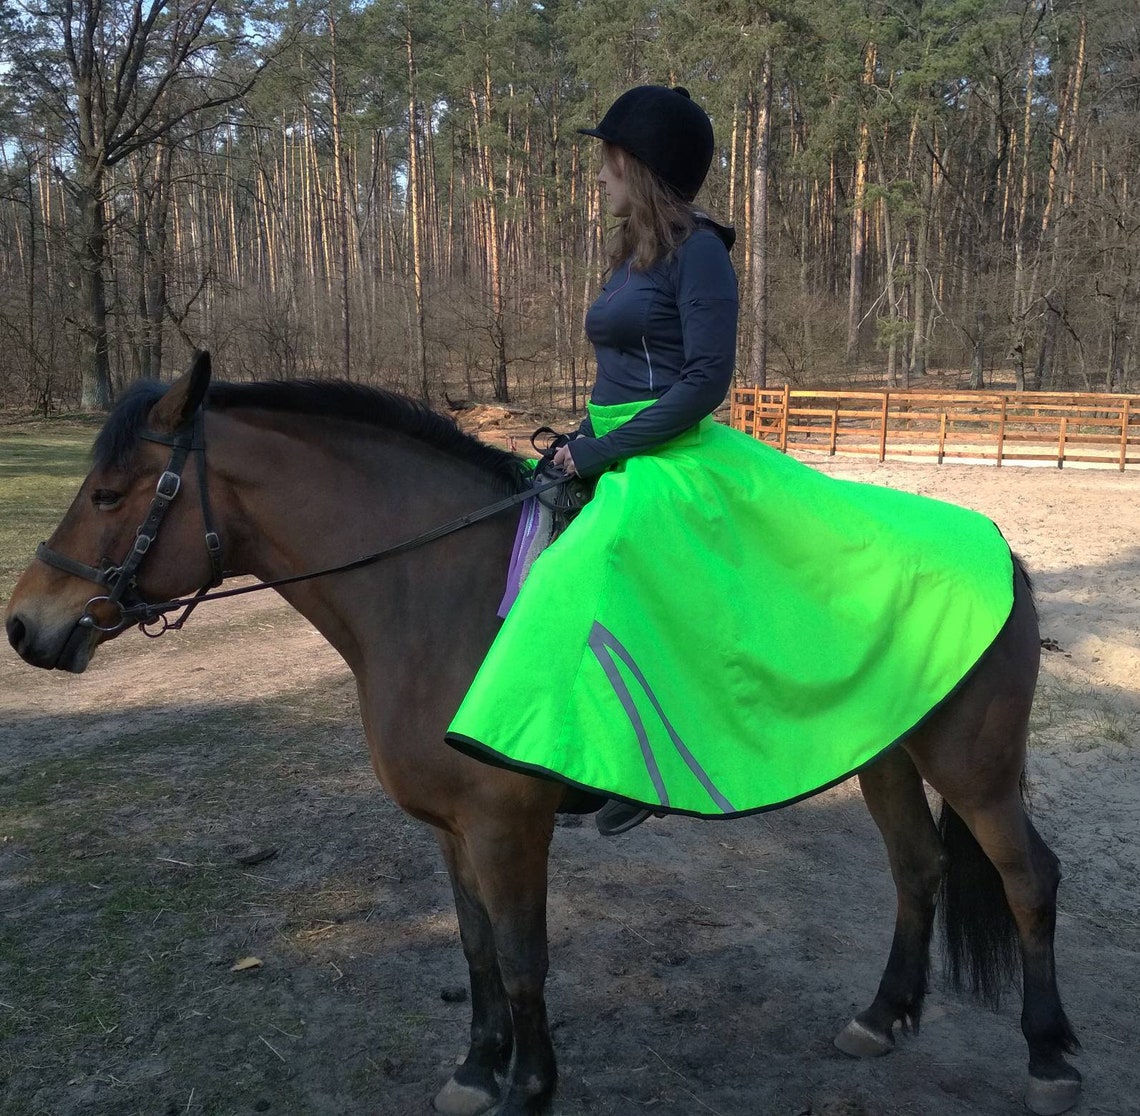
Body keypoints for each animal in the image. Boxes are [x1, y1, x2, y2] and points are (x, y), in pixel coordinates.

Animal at [6, 353, 1081, 1116]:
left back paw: (1049, 1056)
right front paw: (480, 1072)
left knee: (1028, 879)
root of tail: (1001, 550)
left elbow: (525, 958)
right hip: (886, 755)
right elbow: (478, 949)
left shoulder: (506, 824)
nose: (24, 625)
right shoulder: (450, 829)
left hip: (975, 770)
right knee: (918, 871)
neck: (438, 590)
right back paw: (882, 1017)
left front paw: (531, 1088)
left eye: (110, 495)